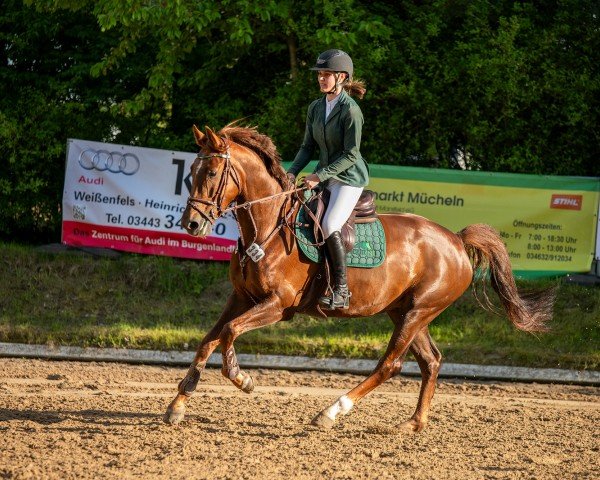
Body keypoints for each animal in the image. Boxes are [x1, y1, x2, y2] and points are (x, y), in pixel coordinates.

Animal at [163, 124, 552, 432]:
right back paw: (414, 423)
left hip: (419, 311)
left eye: (212, 173)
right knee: (431, 361)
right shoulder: (242, 298)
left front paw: (242, 378)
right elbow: (208, 340)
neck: (267, 226)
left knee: (390, 364)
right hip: (406, 311)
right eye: (192, 170)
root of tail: (456, 240)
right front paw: (178, 403)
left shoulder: (277, 305)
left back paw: (331, 412)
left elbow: (229, 333)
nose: (191, 225)